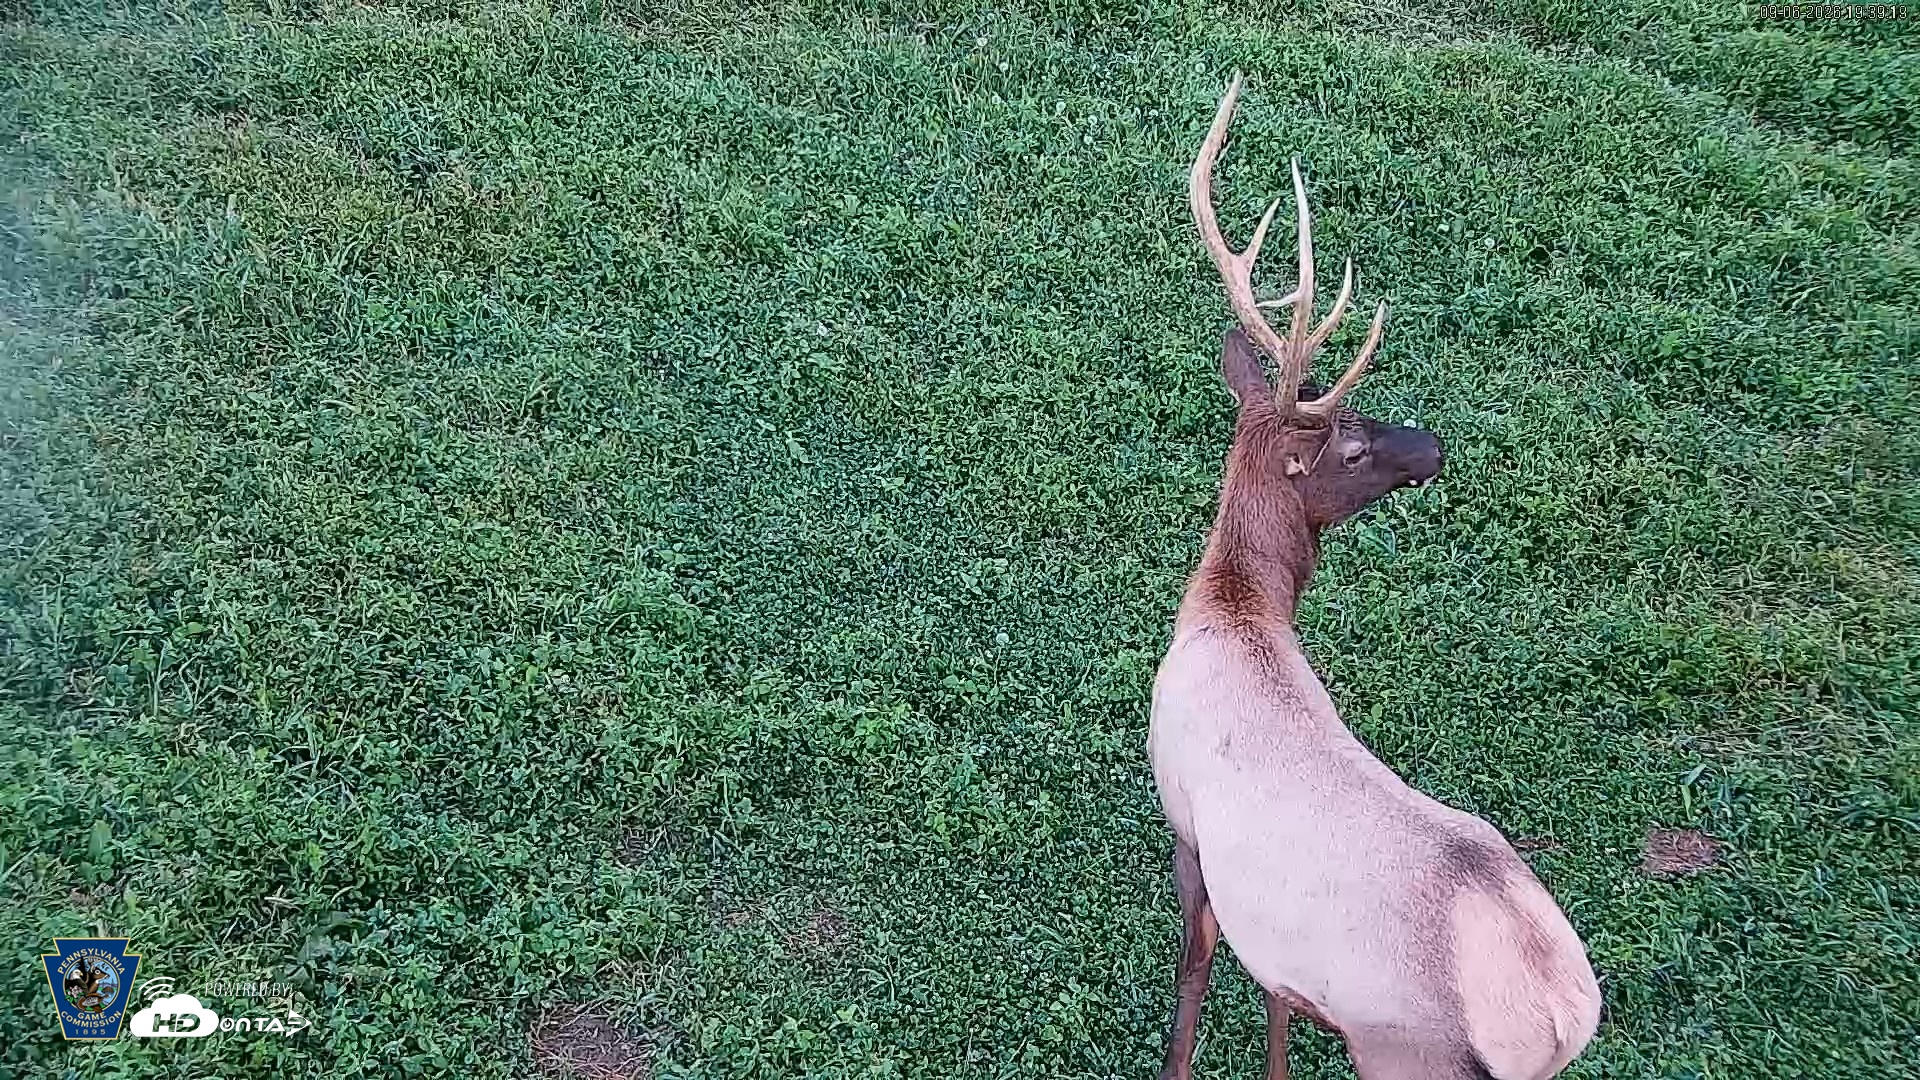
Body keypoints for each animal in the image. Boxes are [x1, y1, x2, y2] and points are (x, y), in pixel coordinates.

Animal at [1147, 73, 1602, 1080]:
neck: (1234, 611)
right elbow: (1271, 1003)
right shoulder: (1269, 939)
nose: (1433, 445)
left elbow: (1195, 967)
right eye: (1351, 441)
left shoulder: (1185, 818)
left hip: (1406, 1054)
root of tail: (1560, 1017)